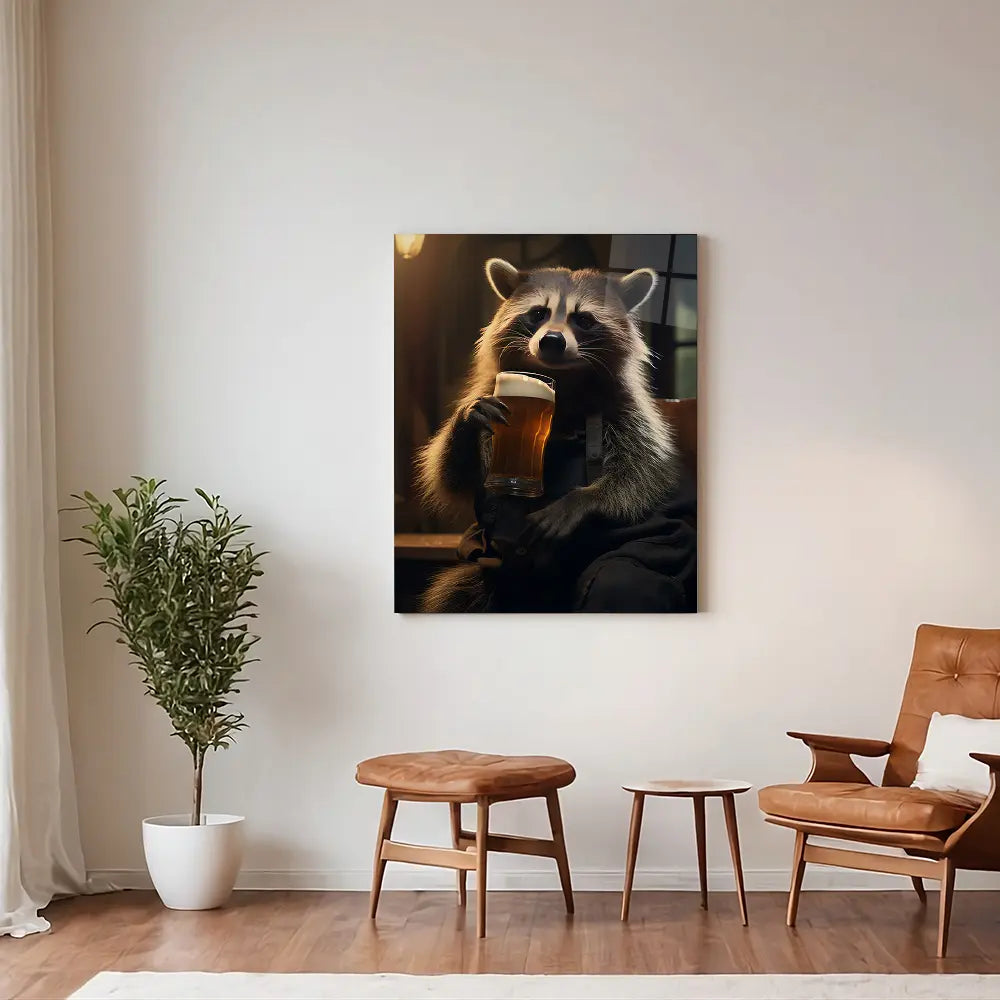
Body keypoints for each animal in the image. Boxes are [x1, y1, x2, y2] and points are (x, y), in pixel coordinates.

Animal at [417, 257, 681, 612]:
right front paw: (467, 422)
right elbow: (453, 477)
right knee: (452, 595)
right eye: (539, 313)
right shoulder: (489, 390)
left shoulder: (629, 411)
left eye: (583, 319)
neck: (560, 379)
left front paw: (584, 498)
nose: (552, 340)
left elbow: (644, 473)